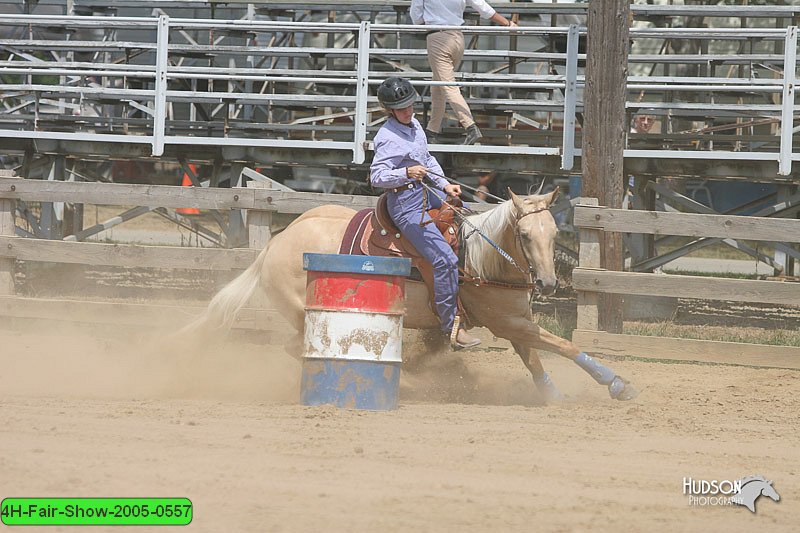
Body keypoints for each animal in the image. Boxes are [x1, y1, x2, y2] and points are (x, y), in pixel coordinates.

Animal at [184, 189, 640, 402]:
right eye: (525, 235)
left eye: (553, 232)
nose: (546, 284)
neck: (484, 258)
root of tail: (272, 246)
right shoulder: (507, 322)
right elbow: (564, 346)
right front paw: (617, 383)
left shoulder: (516, 323)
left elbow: (535, 361)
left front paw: (552, 395)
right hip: (301, 311)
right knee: (297, 346)